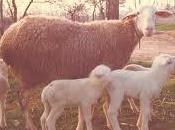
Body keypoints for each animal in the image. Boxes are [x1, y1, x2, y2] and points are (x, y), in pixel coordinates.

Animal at [0, 5, 172, 130]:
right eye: (137, 14)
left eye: (155, 13)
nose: (149, 30)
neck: (121, 34)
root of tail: (8, 34)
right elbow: (106, 102)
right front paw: (108, 122)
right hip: (27, 73)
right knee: (22, 98)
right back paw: (29, 125)